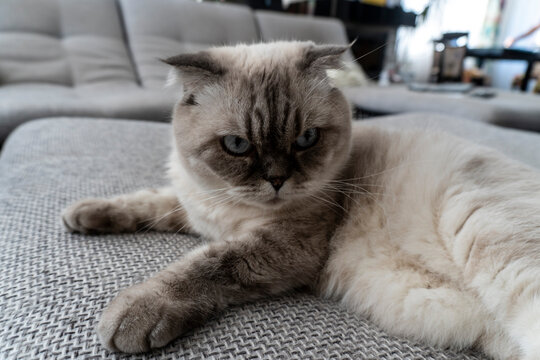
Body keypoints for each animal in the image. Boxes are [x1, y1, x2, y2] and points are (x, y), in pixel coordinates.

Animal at [61, 41, 540, 358]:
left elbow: (205, 265)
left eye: (307, 139)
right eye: (237, 145)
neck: (230, 210)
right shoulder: (196, 207)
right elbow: (144, 202)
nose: (277, 180)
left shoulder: (285, 245)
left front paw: (133, 313)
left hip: (489, 234)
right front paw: (81, 215)